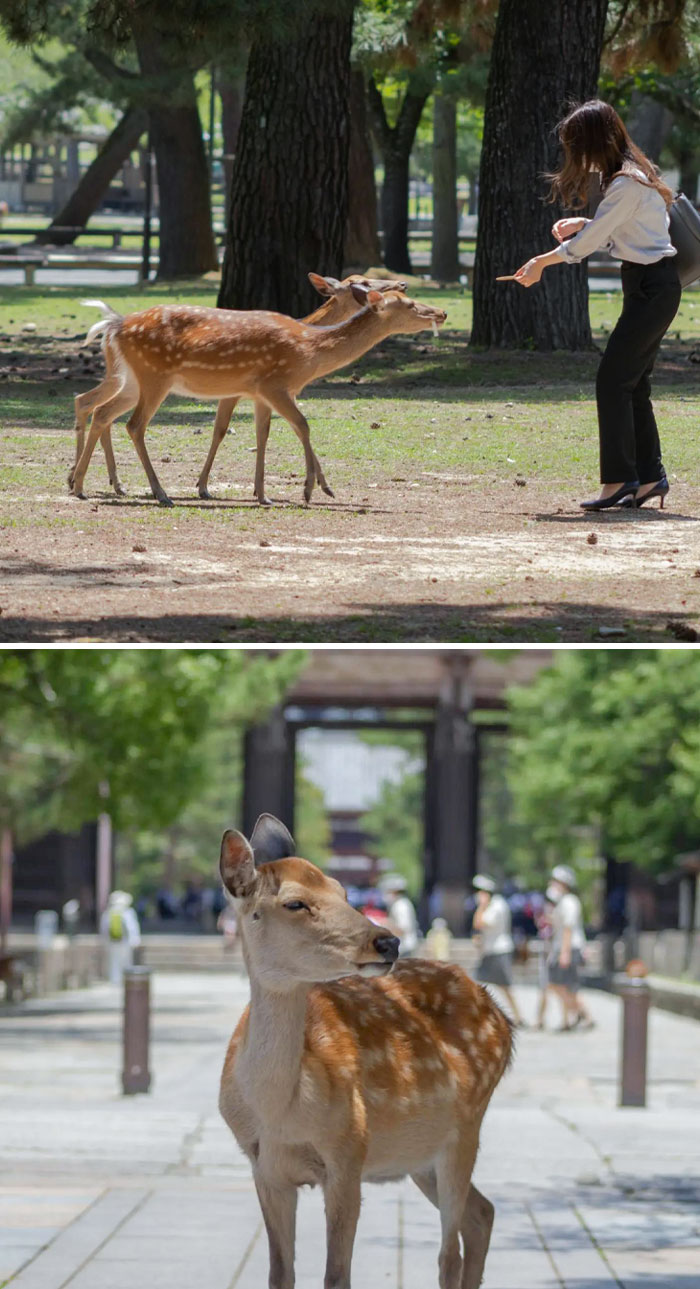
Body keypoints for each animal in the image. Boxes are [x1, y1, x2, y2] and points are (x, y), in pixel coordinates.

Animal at [69, 287, 443, 507]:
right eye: (409, 304)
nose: (442, 312)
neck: (310, 353)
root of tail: (115, 326)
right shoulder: (275, 384)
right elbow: (303, 426)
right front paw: (311, 489)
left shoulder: (259, 393)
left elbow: (263, 436)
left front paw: (263, 495)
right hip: (155, 376)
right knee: (133, 424)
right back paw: (159, 494)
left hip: (132, 380)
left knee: (102, 411)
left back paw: (79, 485)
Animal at [219, 814, 515, 1289]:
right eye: (295, 903)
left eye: (342, 890)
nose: (388, 941)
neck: (278, 1112)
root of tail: (502, 1017)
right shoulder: (264, 1166)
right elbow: (280, 1274)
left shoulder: (348, 1150)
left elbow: (337, 1276)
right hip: (420, 1155)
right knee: (481, 1214)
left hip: (465, 1128)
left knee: (448, 1253)